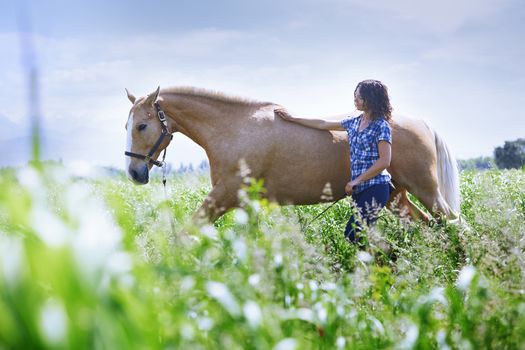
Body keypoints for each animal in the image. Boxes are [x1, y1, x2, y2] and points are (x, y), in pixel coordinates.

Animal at [124, 85, 458, 221]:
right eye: (126, 124)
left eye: (141, 126)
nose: (134, 173)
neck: (234, 129)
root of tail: (422, 123)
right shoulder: (245, 202)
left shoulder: (224, 196)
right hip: (394, 196)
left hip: (426, 191)